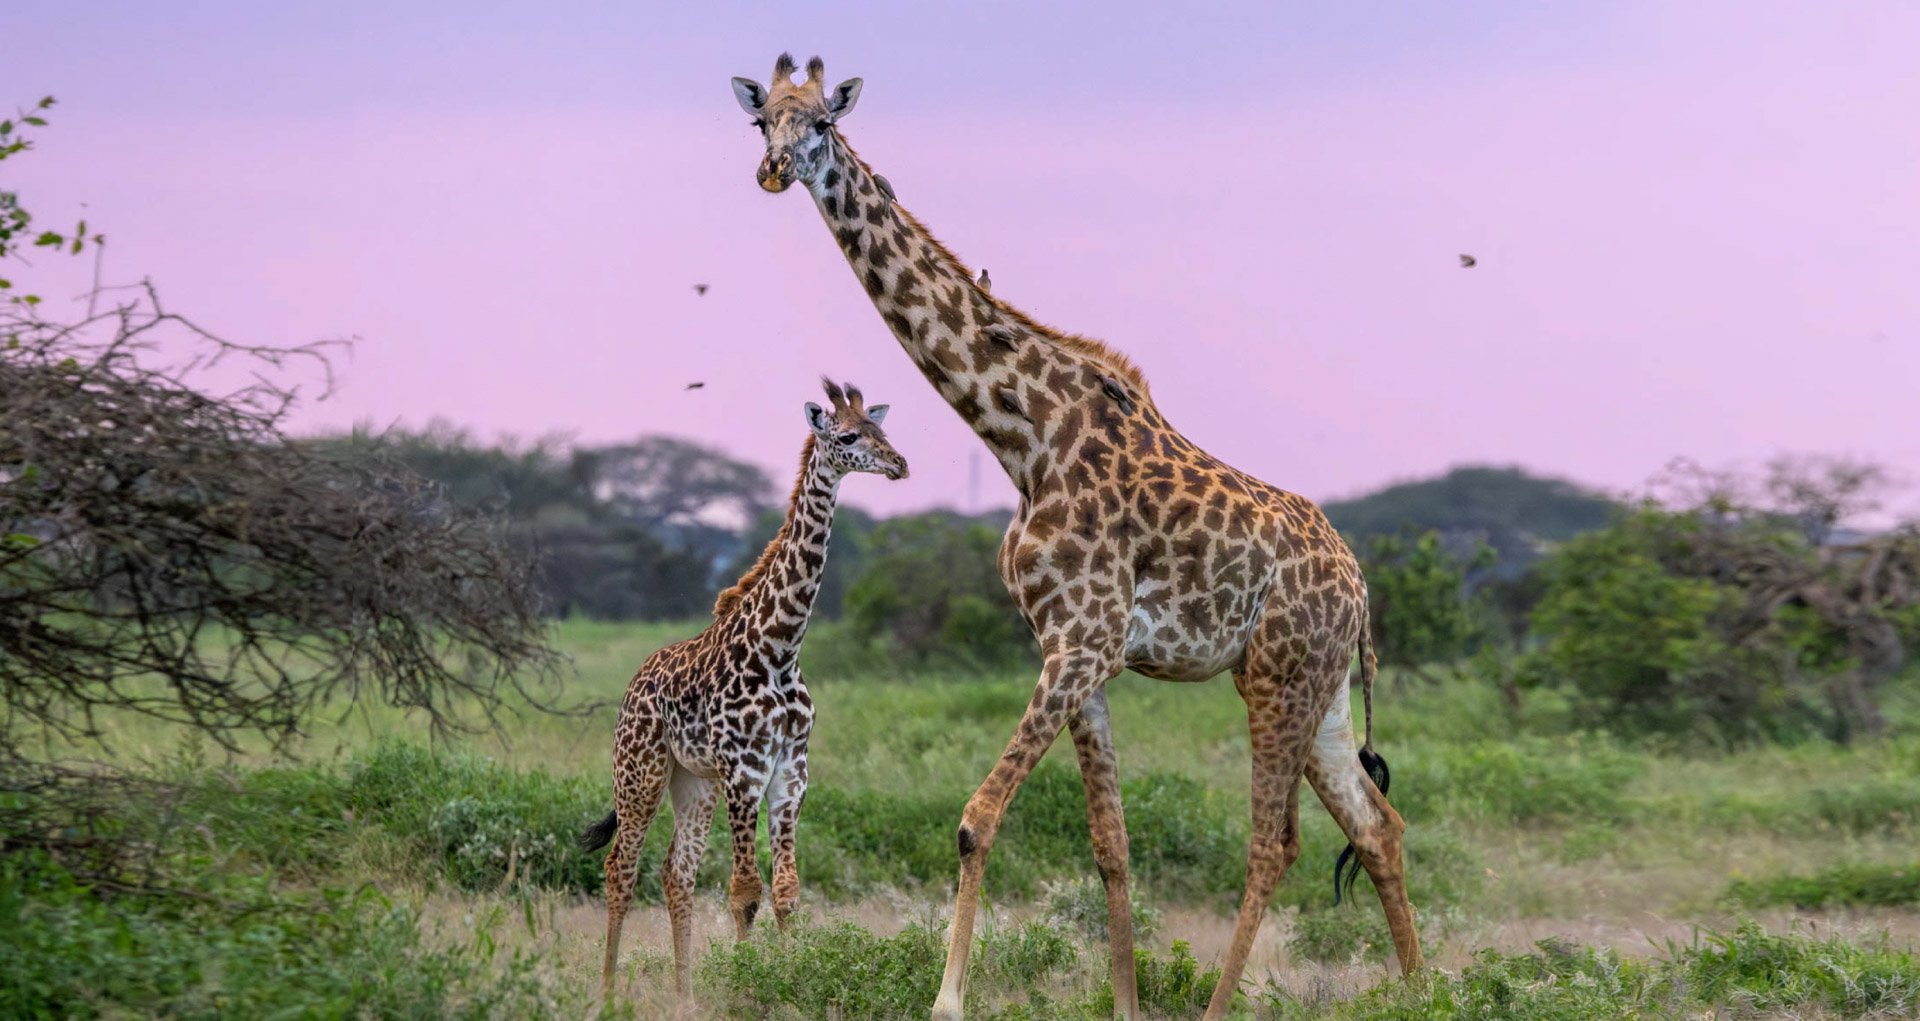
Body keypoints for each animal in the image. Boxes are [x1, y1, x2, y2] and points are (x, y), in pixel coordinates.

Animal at [576, 376, 906, 1005]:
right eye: (849, 436)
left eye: (881, 429)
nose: (900, 464)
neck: (779, 650)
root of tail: (632, 683)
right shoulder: (744, 772)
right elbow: (744, 891)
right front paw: (747, 983)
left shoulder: (790, 774)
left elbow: (786, 893)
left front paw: (793, 979)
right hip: (641, 772)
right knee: (621, 868)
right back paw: (604, 993)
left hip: (693, 783)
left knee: (675, 873)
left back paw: (684, 993)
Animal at [725, 55, 1420, 1021]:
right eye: (764, 124)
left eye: (823, 121)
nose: (772, 173)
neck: (1025, 438)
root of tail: (1358, 592)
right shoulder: (1074, 650)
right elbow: (1110, 844)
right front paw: (1123, 1001)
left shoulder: (1081, 642)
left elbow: (977, 819)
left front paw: (947, 1000)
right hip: (1315, 688)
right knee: (1378, 827)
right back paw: (1426, 994)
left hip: (1280, 678)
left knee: (1273, 842)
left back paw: (1226, 1004)